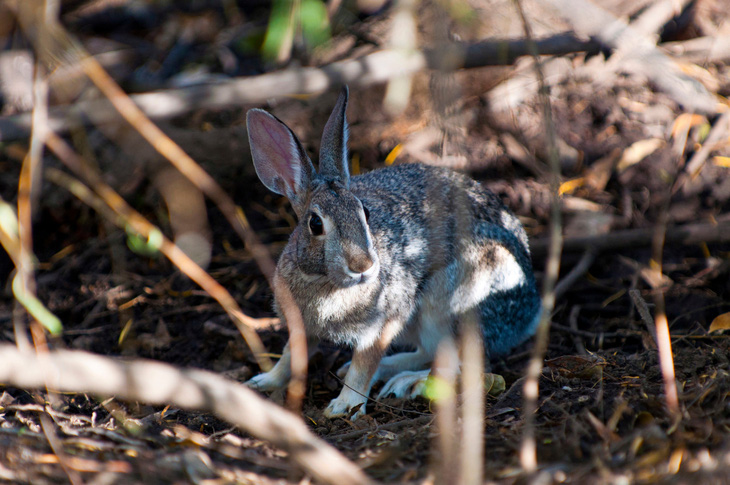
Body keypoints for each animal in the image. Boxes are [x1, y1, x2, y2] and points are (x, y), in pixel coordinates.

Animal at [245, 87, 540, 420]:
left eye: (365, 212)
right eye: (315, 223)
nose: (363, 265)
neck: (325, 282)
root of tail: (529, 312)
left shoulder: (384, 323)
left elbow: (364, 365)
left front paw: (344, 406)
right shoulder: (300, 327)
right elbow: (289, 356)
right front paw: (263, 381)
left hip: (449, 301)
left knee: (460, 363)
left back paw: (407, 383)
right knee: (431, 352)